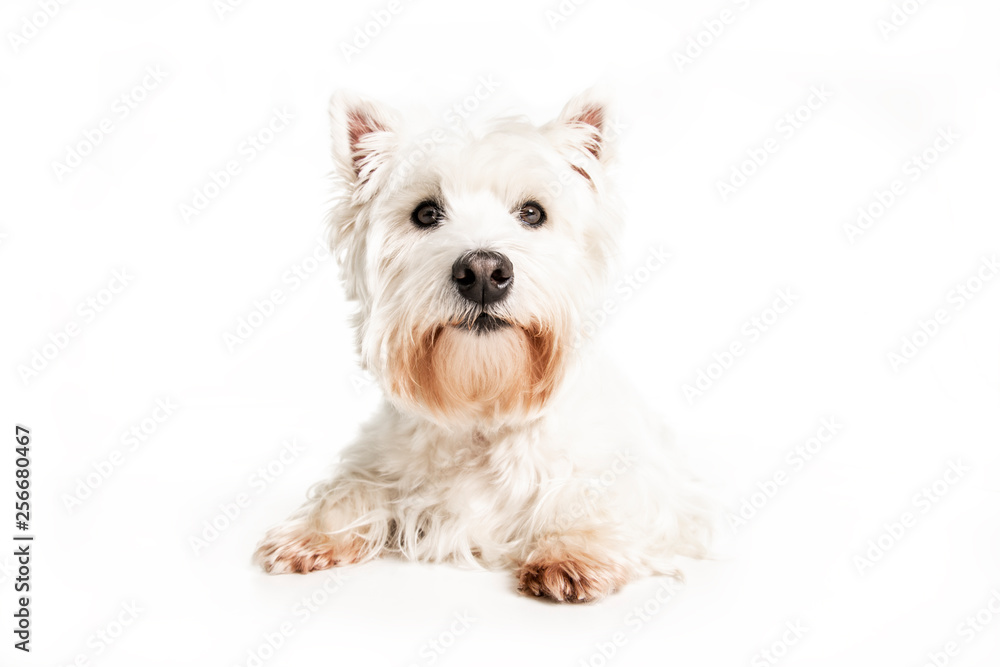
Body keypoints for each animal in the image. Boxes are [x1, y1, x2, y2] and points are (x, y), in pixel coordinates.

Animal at [254, 88, 716, 604]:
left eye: (533, 212)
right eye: (425, 213)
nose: (482, 273)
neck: (483, 405)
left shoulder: (649, 485)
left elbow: (600, 497)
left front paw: (573, 551)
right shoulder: (380, 458)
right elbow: (352, 487)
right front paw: (311, 534)